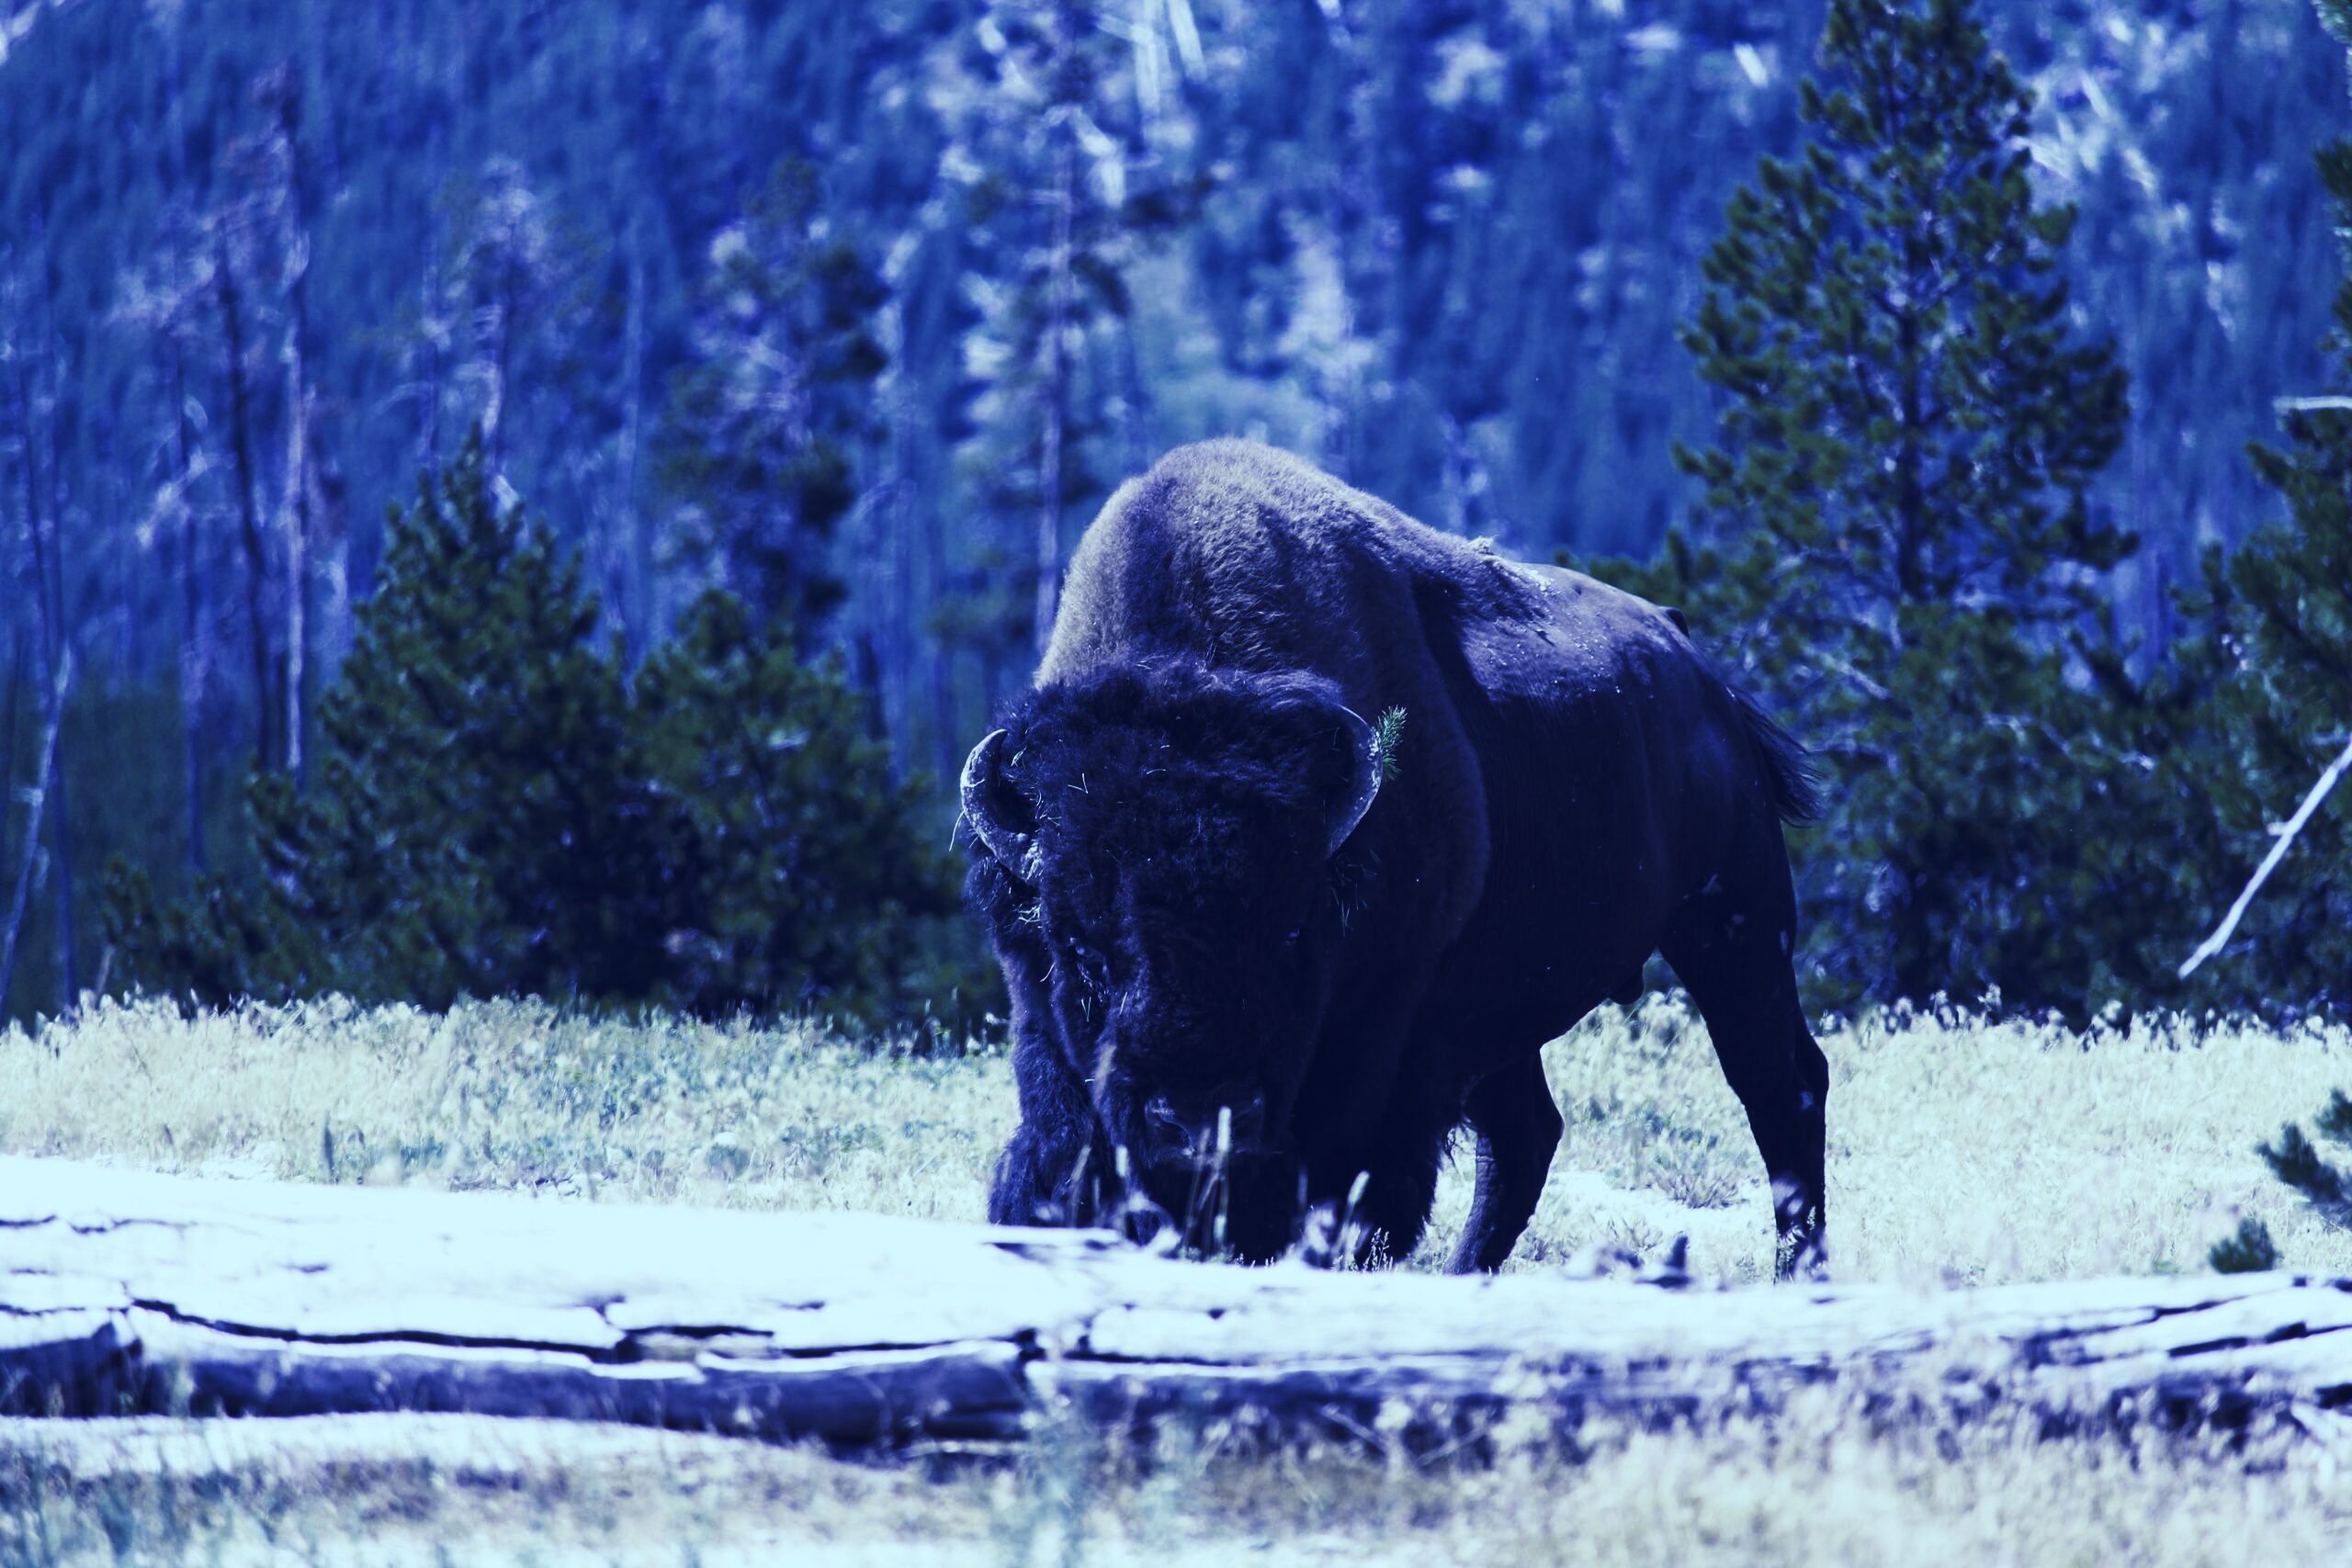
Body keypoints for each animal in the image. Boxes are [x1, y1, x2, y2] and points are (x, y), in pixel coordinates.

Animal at [960, 440, 1827, 1277]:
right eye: (1081, 950)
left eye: (1290, 935)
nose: (1198, 1123)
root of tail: (1700, 671)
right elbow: (1058, 1154)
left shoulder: (1384, 1045)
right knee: (1526, 1136)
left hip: (1736, 925)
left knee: (1782, 1084)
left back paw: (1798, 1268)